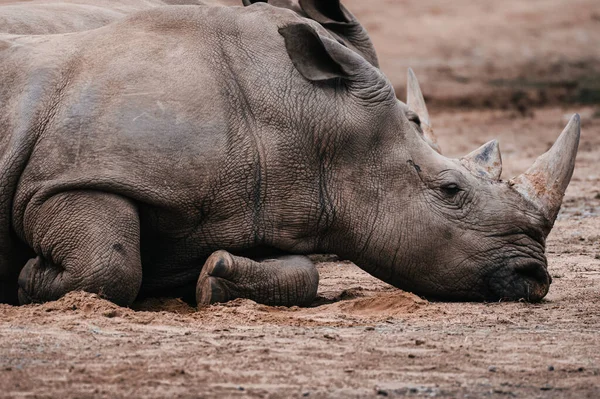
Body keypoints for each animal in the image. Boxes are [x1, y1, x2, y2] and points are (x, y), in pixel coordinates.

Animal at [0, 4, 580, 308]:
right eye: (450, 190)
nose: (534, 277)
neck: (306, 121)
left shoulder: (256, 200)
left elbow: (302, 271)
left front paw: (215, 277)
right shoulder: (67, 178)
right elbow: (112, 263)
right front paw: (29, 279)